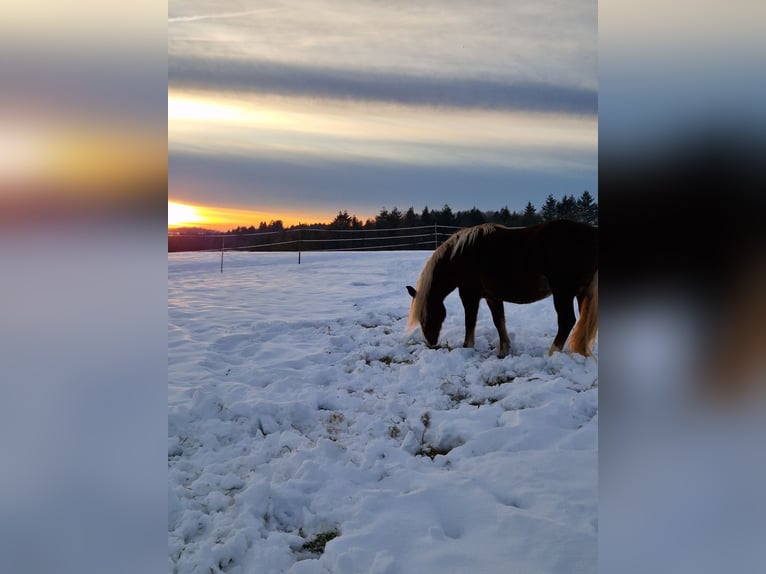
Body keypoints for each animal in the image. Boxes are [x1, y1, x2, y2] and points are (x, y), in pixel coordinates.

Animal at [408, 219, 600, 358]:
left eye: (426, 315)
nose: (431, 342)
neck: (461, 255)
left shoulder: (469, 295)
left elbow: (470, 322)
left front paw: (467, 347)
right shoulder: (492, 297)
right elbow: (499, 322)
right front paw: (503, 351)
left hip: (563, 293)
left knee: (567, 321)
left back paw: (552, 353)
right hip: (581, 293)